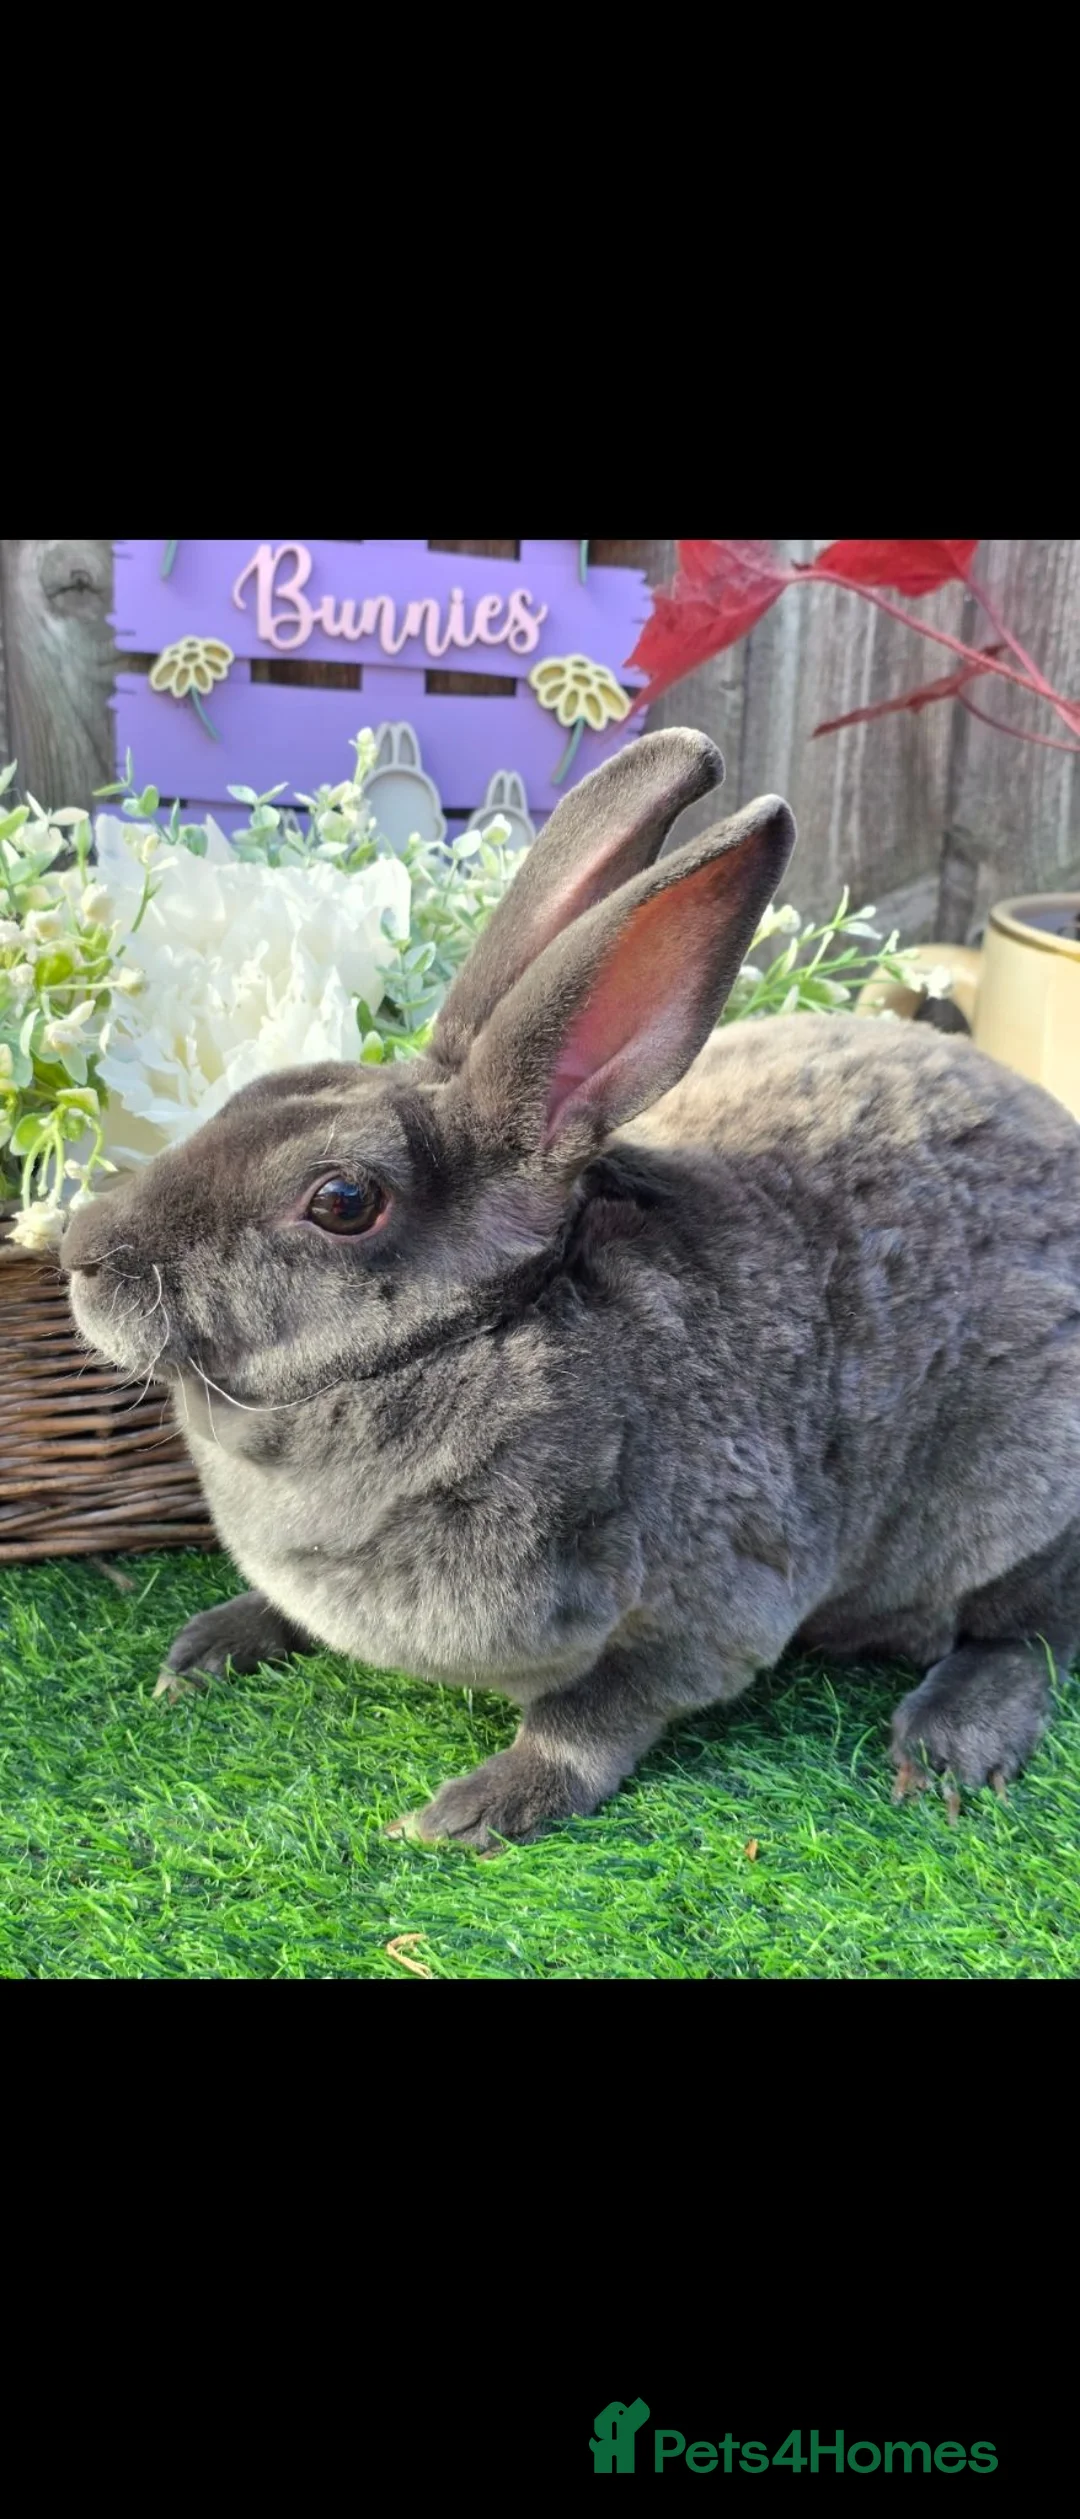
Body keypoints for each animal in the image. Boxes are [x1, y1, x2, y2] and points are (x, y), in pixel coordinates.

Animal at [61, 729, 1080, 1850]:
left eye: (342, 1199)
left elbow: (593, 1716)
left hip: (1022, 1496)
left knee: (1028, 1631)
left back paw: (951, 1744)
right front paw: (206, 1647)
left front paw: (474, 1809)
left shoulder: (712, 1607)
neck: (471, 1336)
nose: (79, 1247)